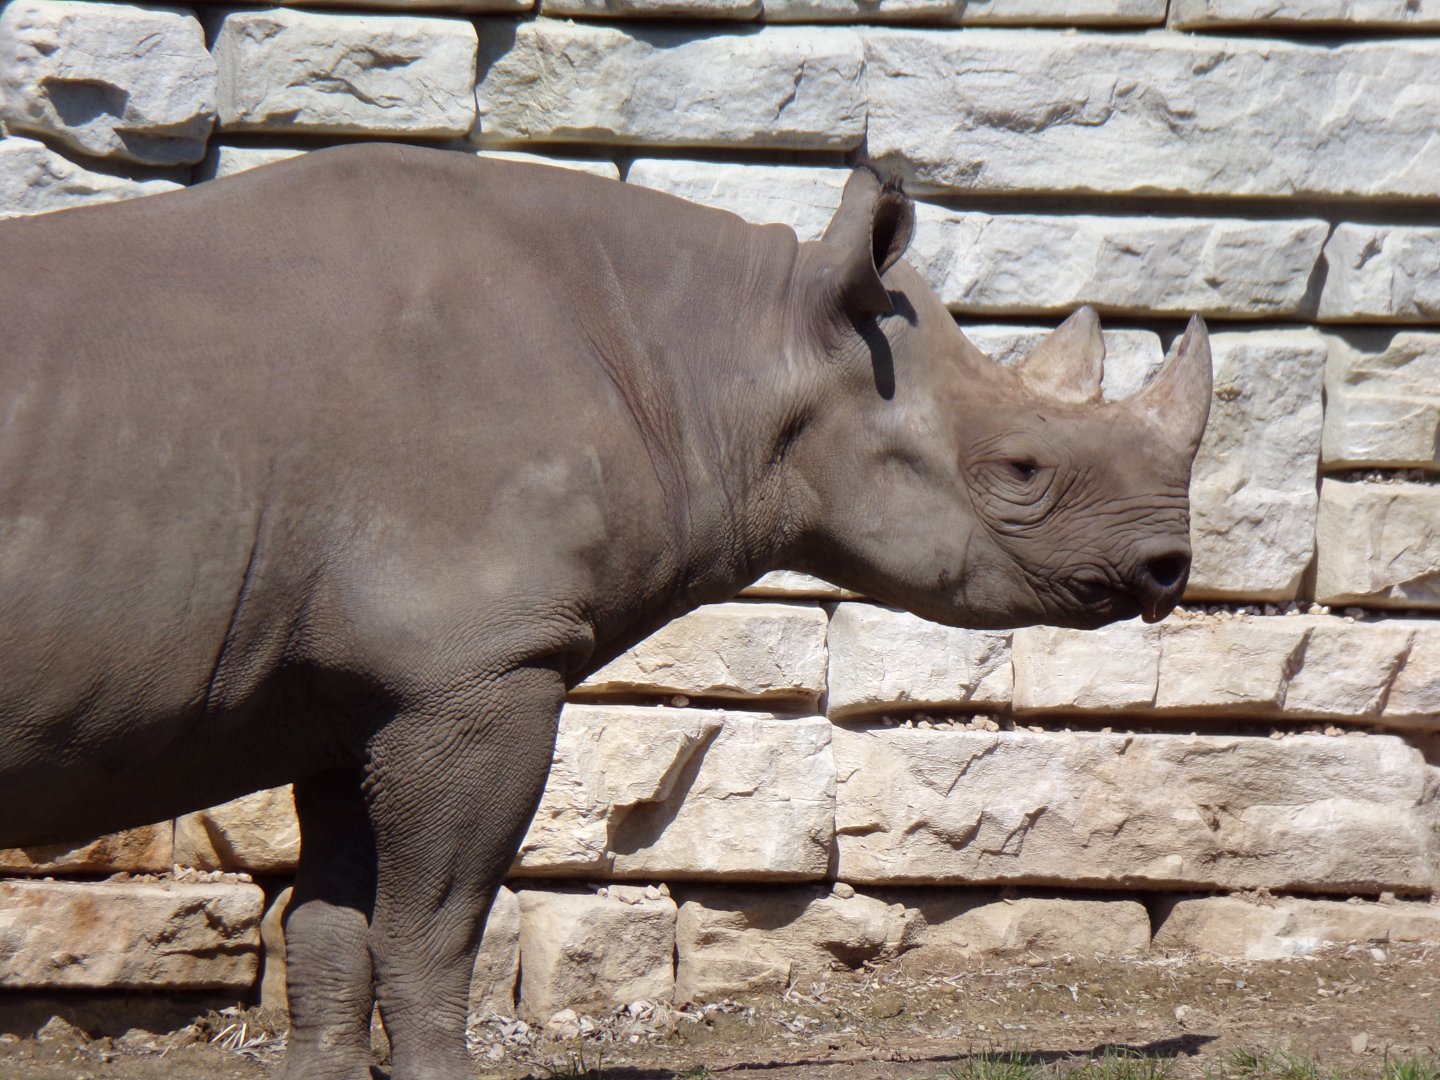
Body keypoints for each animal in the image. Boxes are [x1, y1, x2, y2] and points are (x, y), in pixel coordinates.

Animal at [0, 144, 1210, 1079]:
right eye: (1020, 470)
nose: (1170, 568)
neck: (722, 358)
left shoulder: (358, 688)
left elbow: (334, 928)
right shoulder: (476, 665)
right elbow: (434, 928)